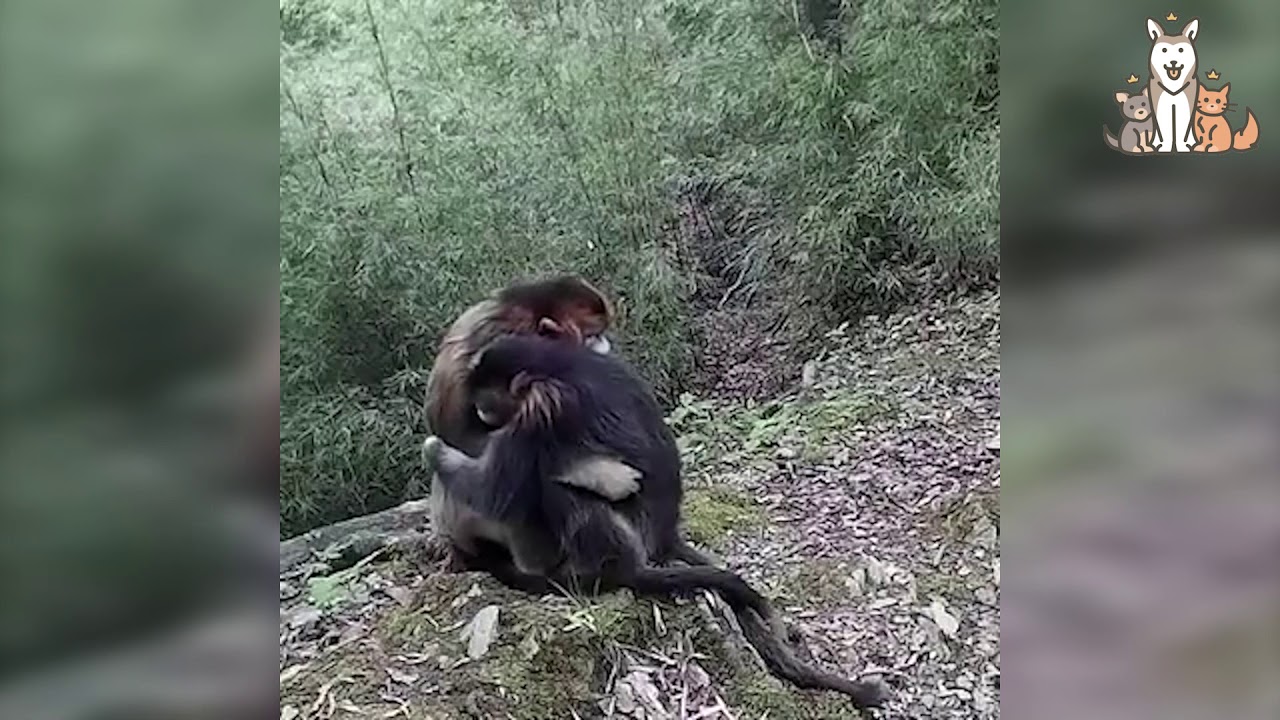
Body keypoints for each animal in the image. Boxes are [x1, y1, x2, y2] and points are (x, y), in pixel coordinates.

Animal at [421, 334, 890, 709]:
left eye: (486, 398)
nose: (480, 411)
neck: (555, 365)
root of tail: (662, 538)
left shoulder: (542, 409)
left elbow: (495, 492)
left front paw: (434, 449)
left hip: (629, 534)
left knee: (554, 488)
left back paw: (603, 573)